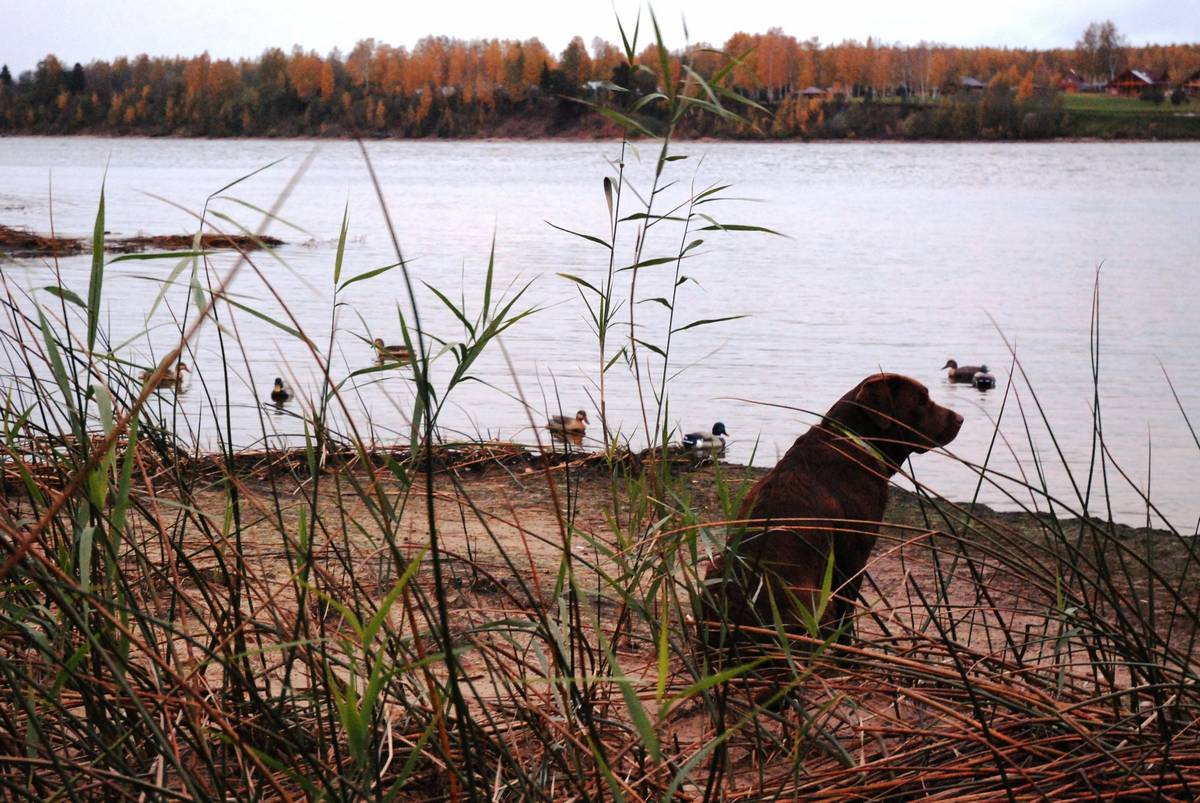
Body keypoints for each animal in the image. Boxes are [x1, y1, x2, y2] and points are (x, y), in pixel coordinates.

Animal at [700, 372, 964, 643]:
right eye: (921, 401)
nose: (960, 419)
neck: (853, 443)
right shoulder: (853, 558)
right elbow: (846, 614)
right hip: (815, 601)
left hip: (713, 569)